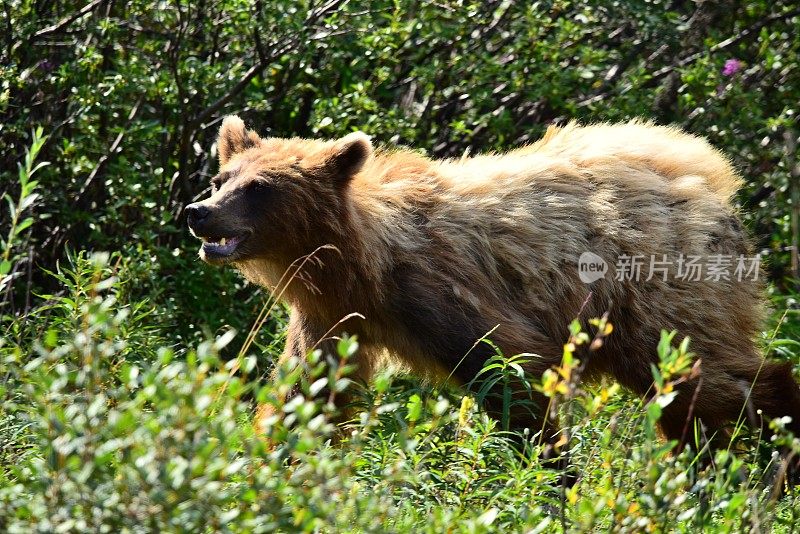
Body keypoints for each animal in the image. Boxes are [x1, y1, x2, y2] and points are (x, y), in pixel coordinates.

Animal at [186, 116, 800, 456]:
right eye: (221, 178)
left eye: (260, 187)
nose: (199, 212)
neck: (362, 265)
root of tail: (710, 178)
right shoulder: (332, 318)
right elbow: (307, 395)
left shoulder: (441, 294)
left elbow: (509, 381)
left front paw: (551, 475)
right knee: (682, 400)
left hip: (655, 291)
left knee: (707, 375)